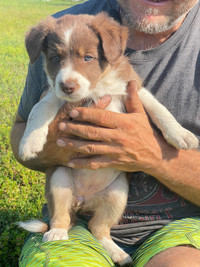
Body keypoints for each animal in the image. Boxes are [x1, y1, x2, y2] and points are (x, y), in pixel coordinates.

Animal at [18, 12, 198, 266]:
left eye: (88, 57)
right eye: (55, 58)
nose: (68, 86)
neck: (98, 86)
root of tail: (84, 199)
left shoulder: (133, 88)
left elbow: (159, 108)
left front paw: (180, 134)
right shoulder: (53, 93)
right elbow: (38, 108)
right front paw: (30, 142)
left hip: (117, 194)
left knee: (98, 228)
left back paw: (118, 253)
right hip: (59, 180)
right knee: (61, 218)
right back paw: (57, 234)